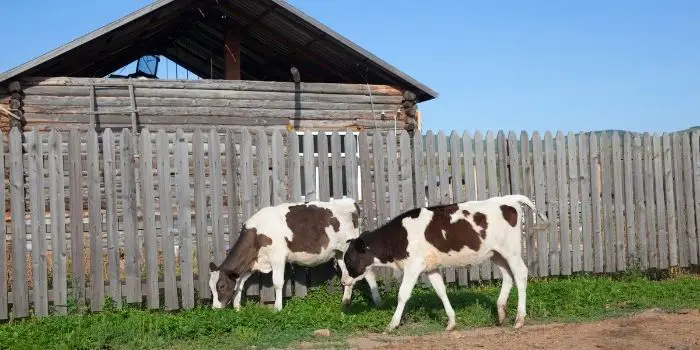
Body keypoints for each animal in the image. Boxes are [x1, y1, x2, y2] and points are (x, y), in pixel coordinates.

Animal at [208, 198, 382, 310]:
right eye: (211, 287)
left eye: (221, 286)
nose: (215, 308)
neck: (257, 234)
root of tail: (350, 202)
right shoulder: (252, 263)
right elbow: (240, 284)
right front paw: (237, 307)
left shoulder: (278, 258)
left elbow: (278, 283)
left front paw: (277, 308)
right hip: (340, 253)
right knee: (347, 275)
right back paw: (345, 303)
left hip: (350, 249)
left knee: (369, 273)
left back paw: (378, 301)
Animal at [340, 196, 552, 332]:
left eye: (348, 259)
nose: (343, 281)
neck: (400, 237)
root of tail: (508, 199)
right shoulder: (430, 267)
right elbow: (441, 291)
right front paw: (451, 322)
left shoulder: (413, 266)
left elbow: (403, 295)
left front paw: (392, 325)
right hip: (496, 253)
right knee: (508, 275)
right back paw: (500, 314)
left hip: (511, 250)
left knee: (521, 274)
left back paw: (519, 319)